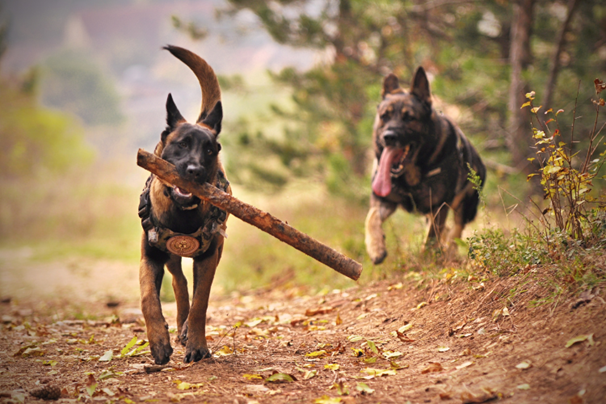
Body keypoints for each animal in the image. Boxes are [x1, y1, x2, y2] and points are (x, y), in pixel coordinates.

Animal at [138, 45, 230, 364]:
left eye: (209, 150)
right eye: (182, 144)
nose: (195, 171)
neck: (182, 214)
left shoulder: (209, 257)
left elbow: (201, 303)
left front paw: (198, 345)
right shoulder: (150, 255)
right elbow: (148, 298)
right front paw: (158, 342)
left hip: (217, 251)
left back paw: (187, 330)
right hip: (169, 256)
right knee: (179, 282)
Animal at [366, 67, 490, 266]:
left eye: (409, 118)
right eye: (384, 116)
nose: (388, 137)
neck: (409, 175)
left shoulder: (439, 206)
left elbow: (431, 238)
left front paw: (426, 259)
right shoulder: (383, 200)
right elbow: (371, 218)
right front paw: (376, 247)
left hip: (465, 207)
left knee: (455, 231)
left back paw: (449, 252)